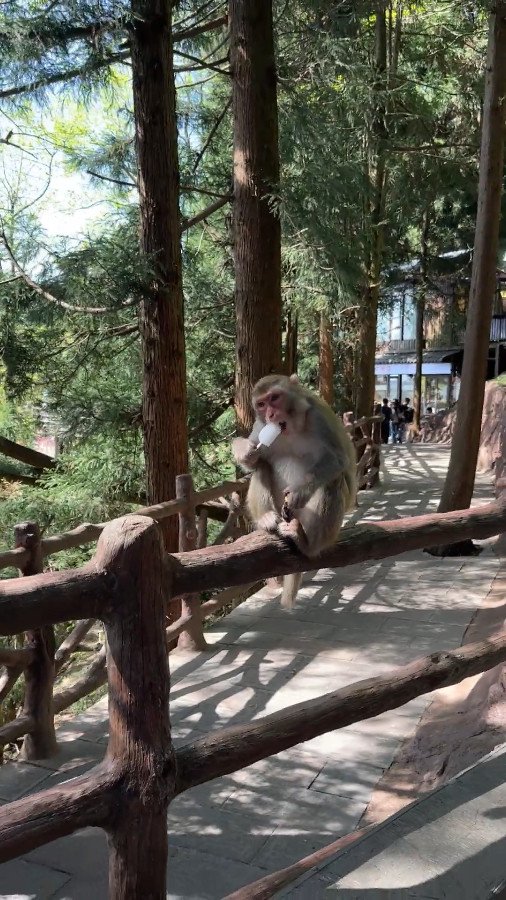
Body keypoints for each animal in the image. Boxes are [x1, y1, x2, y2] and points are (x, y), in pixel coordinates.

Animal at [232, 374, 357, 608]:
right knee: (263, 467)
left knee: (332, 482)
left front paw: (299, 493)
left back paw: (306, 543)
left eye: (275, 398)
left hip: (310, 519)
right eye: (261, 405)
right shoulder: (261, 428)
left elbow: (336, 460)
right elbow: (255, 462)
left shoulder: (319, 418)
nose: (271, 415)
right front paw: (244, 450)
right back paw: (266, 519)